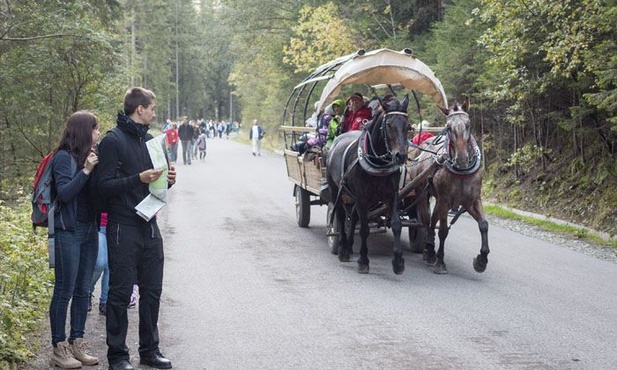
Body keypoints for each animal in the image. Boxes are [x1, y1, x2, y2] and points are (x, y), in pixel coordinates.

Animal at [324, 95, 412, 274]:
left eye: (408, 126)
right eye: (389, 125)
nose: (400, 156)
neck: (378, 162)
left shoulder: (392, 195)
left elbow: (396, 224)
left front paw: (398, 262)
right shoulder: (362, 197)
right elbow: (364, 229)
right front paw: (363, 261)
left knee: (353, 215)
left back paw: (349, 247)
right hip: (336, 189)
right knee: (341, 215)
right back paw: (343, 249)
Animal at [406, 98, 488, 274]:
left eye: (468, 124)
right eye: (448, 127)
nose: (462, 159)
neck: (462, 172)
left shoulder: (472, 201)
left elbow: (484, 225)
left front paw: (481, 261)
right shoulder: (445, 200)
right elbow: (443, 230)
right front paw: (440, 262)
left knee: (432, 220)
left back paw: (428, 249)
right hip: (422, 194)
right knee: (427, 221)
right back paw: (430, 252)